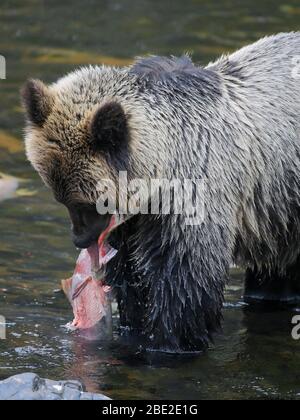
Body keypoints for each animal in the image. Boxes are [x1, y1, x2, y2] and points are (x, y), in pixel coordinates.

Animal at [22, 33, 300, 352]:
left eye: (88, 202)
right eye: (62, 199)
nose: (80, 239)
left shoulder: (193, 199)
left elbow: (184, 284)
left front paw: (170, 342)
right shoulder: (134, 224)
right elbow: (130, 278)